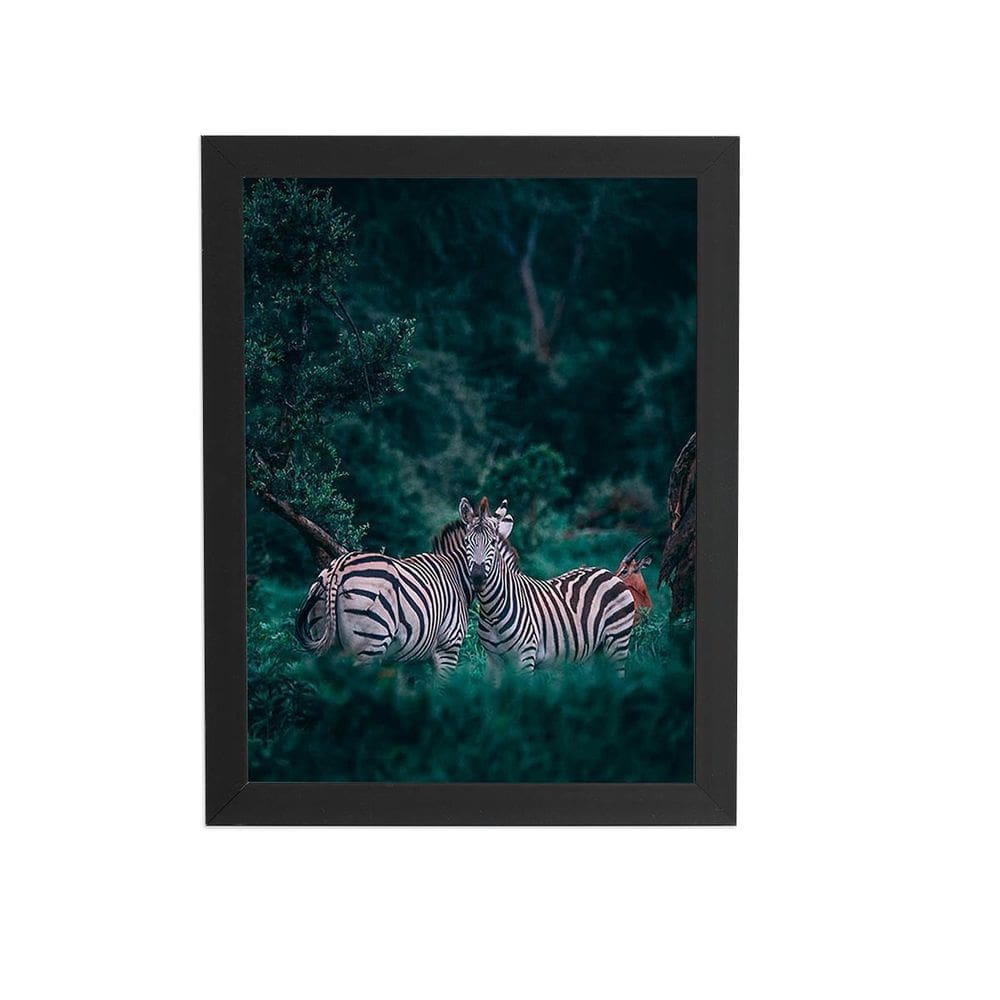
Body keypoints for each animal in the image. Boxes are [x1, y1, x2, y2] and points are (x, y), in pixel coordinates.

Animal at [459, 496, 647, 675]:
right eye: (466, 542)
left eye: (492, 543)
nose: (477, 577)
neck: (492, 610)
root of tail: (608, 573)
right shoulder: (493, 660)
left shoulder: (525, 657)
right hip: (594, 651)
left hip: (617, 641)